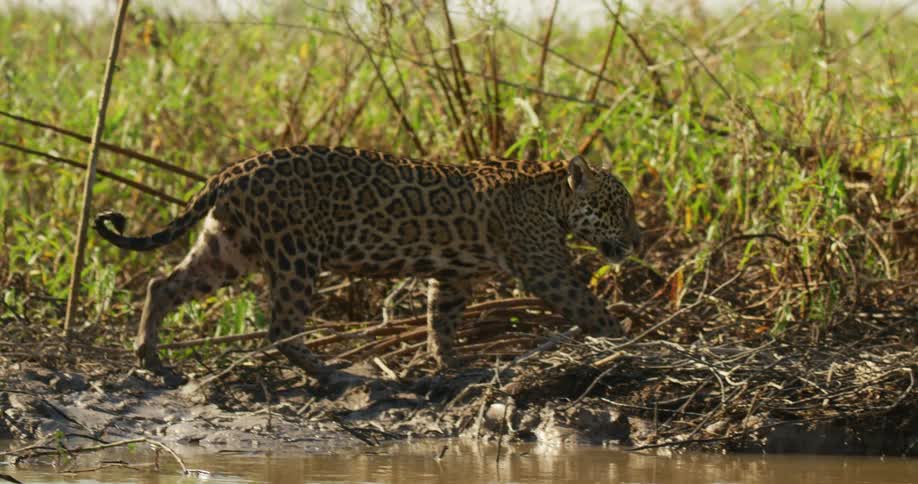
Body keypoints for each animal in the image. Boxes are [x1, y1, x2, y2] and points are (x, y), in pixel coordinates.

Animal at [94, 144, 641, 382]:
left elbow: (440, 319)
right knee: (282, 325)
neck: (552, 194)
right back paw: (333, 373)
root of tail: (232, 169)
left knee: (163, 285)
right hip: (296, 253)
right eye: (619, 209)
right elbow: (589, 307)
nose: (637, 240)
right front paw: (627, 341)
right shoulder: (546, 267)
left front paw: (449, 362)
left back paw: (151, 358)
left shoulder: (455, 277)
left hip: (228, 249)